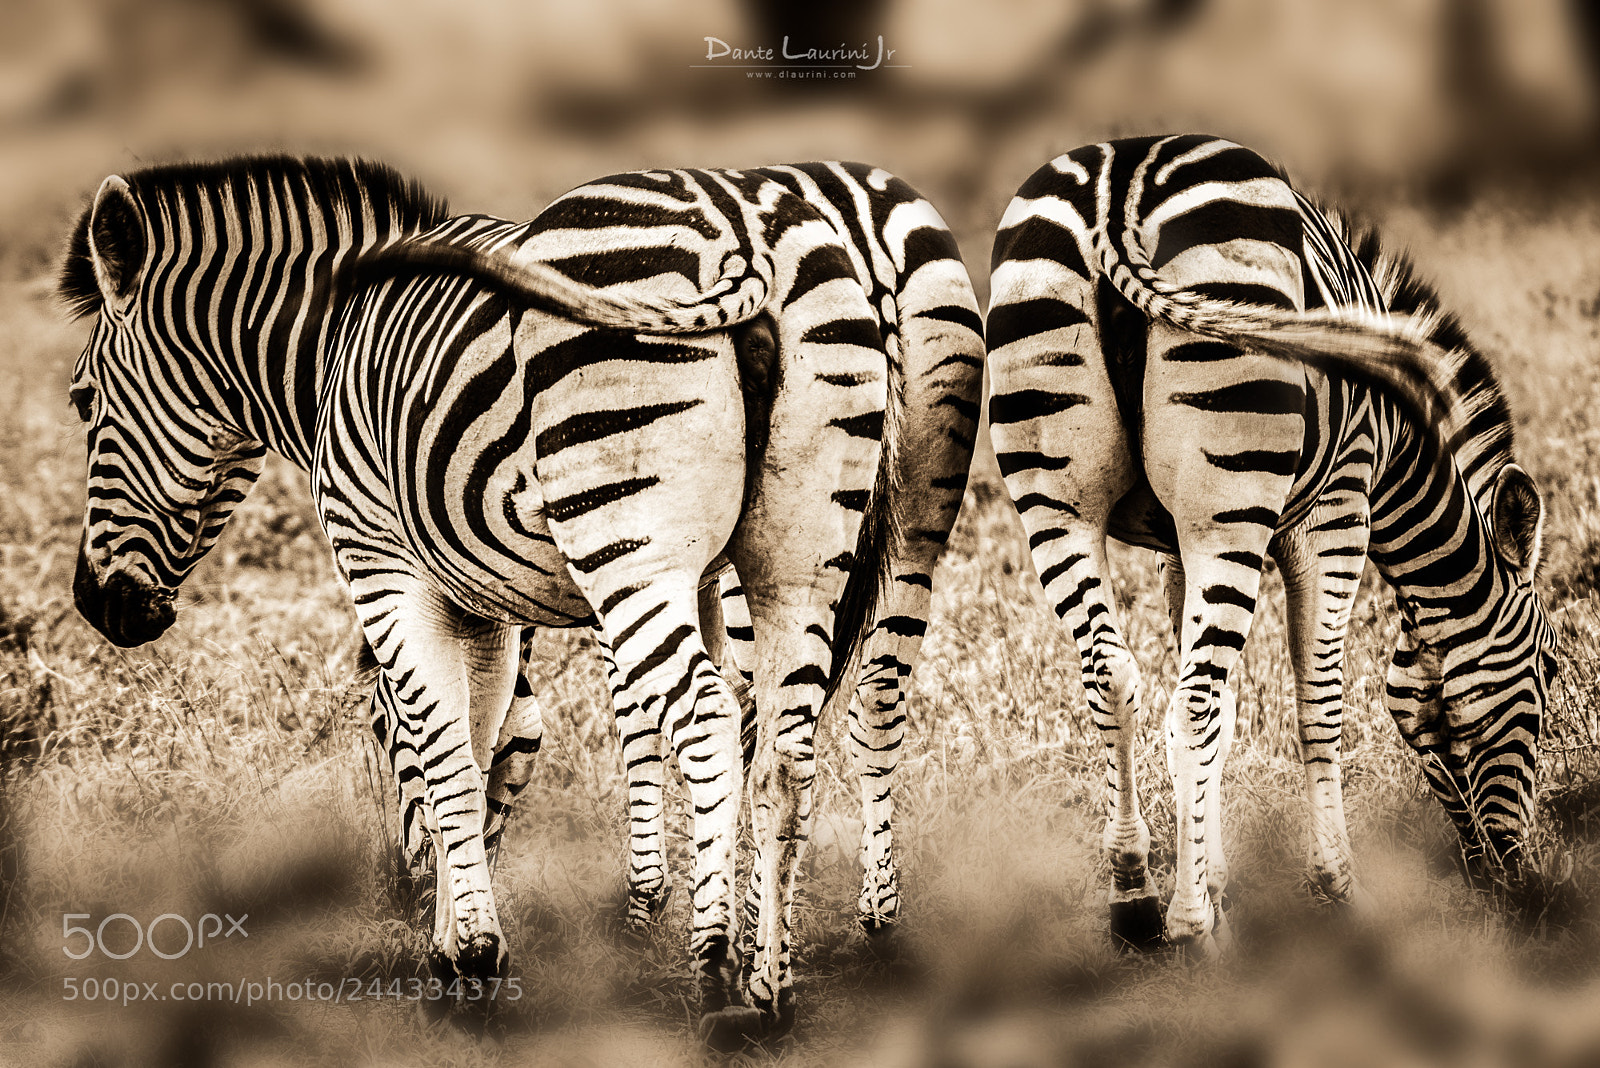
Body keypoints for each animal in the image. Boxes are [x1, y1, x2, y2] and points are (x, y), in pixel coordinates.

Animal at [61, 155, 891, 1045]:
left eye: (82, 402)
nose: (97, 607)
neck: (331, 342)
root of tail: (740, 223)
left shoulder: (382, 564)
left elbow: (441, 751)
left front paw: (474, 956)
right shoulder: (481, 601)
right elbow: (483, 743)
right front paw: (451, 942)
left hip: (628, 534)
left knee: (706, 721)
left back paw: (711, 973)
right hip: (802, 554)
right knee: (786, 754)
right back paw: (769, 990)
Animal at [987, 133, 1555, 953]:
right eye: (1549, 668)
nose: (1506, 878)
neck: (1401, 448)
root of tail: (1118, 189)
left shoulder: (1175, 547)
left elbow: (1225, 714)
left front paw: (1214, 883)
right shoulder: (1337, 511)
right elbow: (1317, 704)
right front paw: (1334, 890)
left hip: (1056, 497)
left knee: (1114, 677)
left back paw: (1134, 897)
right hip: (1230, 497)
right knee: (1189, 703)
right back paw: (1188, 931)